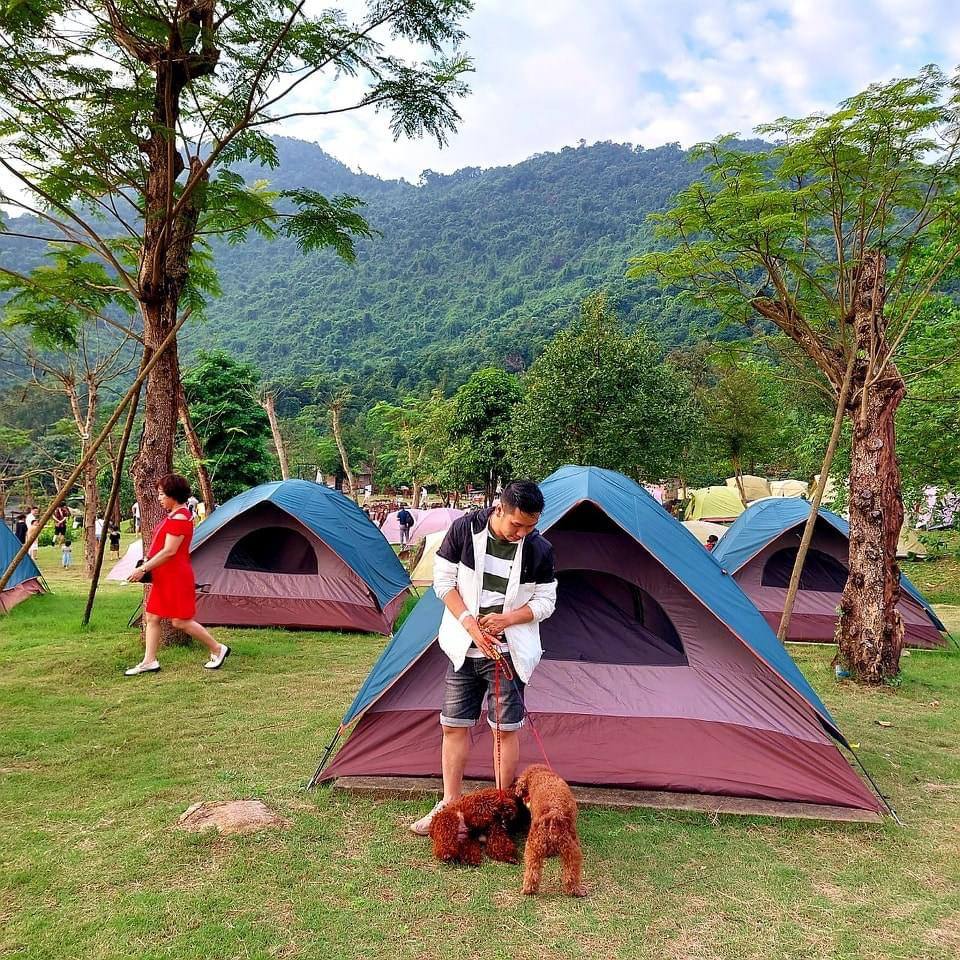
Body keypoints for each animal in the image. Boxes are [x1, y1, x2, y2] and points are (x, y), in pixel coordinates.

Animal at [512, 760, 588, 896]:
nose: (519, 794)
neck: (540, 774)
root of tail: (553, 814)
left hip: (536, 850)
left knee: (533, 872)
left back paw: (528, 890)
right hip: (571, 851)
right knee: (571, 874)